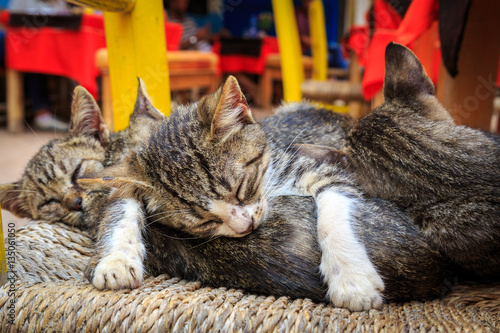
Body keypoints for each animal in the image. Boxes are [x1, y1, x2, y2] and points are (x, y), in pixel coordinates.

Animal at [78, 76, 454, 310]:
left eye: (242, 188)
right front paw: (117, 258)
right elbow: (122, 205)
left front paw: (351, 279)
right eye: (203, 223)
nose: (245, 227)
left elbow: (334, 209)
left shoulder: (324, 169)